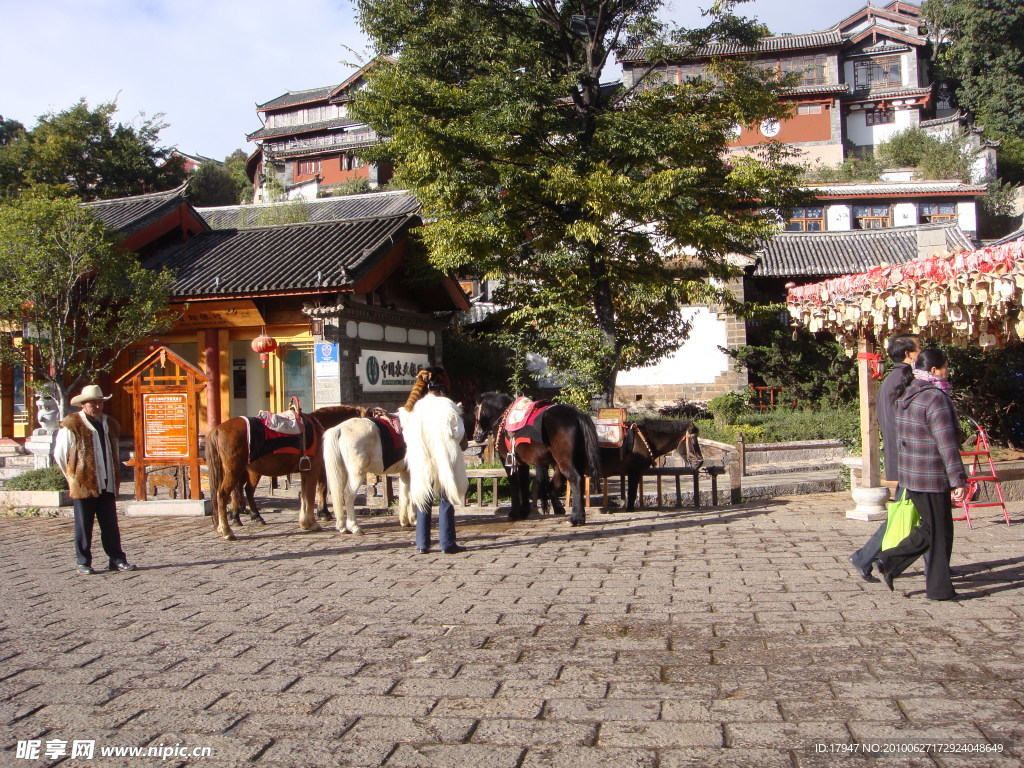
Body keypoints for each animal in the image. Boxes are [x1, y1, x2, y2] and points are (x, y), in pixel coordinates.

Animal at [205, 403, 366, 540]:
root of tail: (218, 429)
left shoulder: (305, 471)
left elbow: (305, 496)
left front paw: (307, 521)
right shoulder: (314, 470)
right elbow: (313, 494)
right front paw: (314, 521)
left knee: (244, 491)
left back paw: (249, 518)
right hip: (234, 471)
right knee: (224, 494)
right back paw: (227, 530)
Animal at [471, 393, 598, 528]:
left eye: (475, 411)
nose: (476, 436)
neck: (502, 417)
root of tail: (577, 415)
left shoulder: (507, 460)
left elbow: (515, 484)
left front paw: (514, 512)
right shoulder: (522, 463)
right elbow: (524, 484)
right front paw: (524, 511)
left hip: (564, 461)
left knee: (575, 479)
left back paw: (575, 518)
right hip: (571, 462)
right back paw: (577, 515)